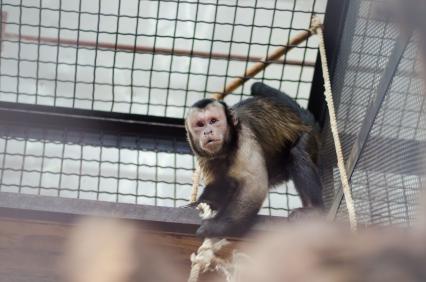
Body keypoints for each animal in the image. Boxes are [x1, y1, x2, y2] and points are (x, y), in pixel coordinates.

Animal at [186, 82, 322, 238]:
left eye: (213, 121)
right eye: (200, 124)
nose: (207, 131)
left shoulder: (245, 137)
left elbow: (253, 186)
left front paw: (216, 227)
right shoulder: (204, 155)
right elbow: (218, 183)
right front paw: (203, 203)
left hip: (310, 136)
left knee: (298, 153)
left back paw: (314, 210)